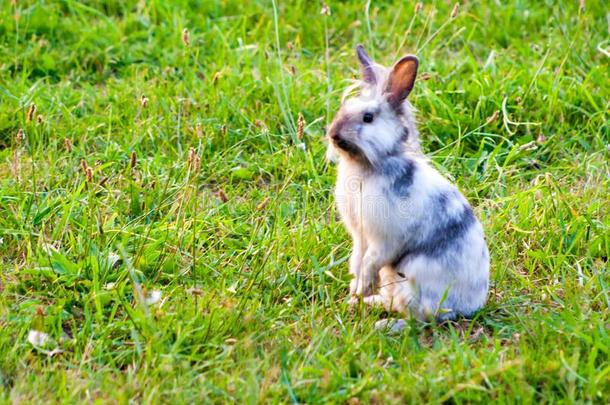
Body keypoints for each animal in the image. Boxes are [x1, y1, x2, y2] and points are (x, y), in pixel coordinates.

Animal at [326, 44, 486, 330]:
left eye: (368, 117)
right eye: (345, 107)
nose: (333, 134)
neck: (367, 166)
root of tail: (470, 306)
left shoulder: (384, 239)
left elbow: (370, 261)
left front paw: (361, 288)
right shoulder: (360, 236)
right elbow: (357, 259)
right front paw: (356, 291)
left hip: (412, 280)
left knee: (420, 320)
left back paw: (385, 325)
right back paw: (366, 303)